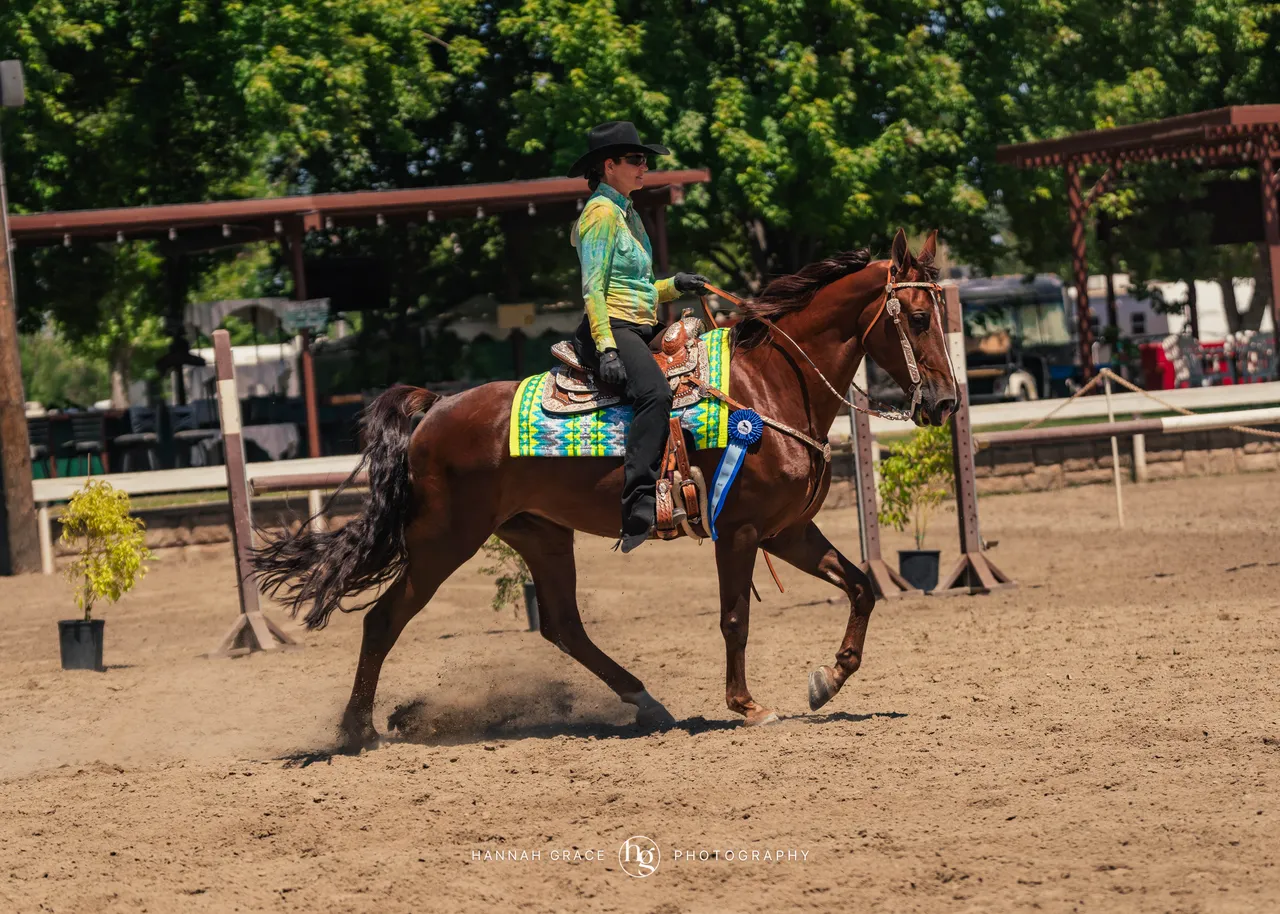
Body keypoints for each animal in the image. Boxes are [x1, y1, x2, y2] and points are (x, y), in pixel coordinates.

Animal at [253, 228, 958, 750]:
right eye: (920, 316)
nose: (946, 402)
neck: (769, 386)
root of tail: (435, 409)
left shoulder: (786, 531)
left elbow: (862, 586)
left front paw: (826, 680)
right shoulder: (740, 531)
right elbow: (735, 618)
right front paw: (748, 705)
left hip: (539, 534)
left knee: (563, 625)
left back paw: (646, 702)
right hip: (441, 541)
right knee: (383, 620)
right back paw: (356, 732)